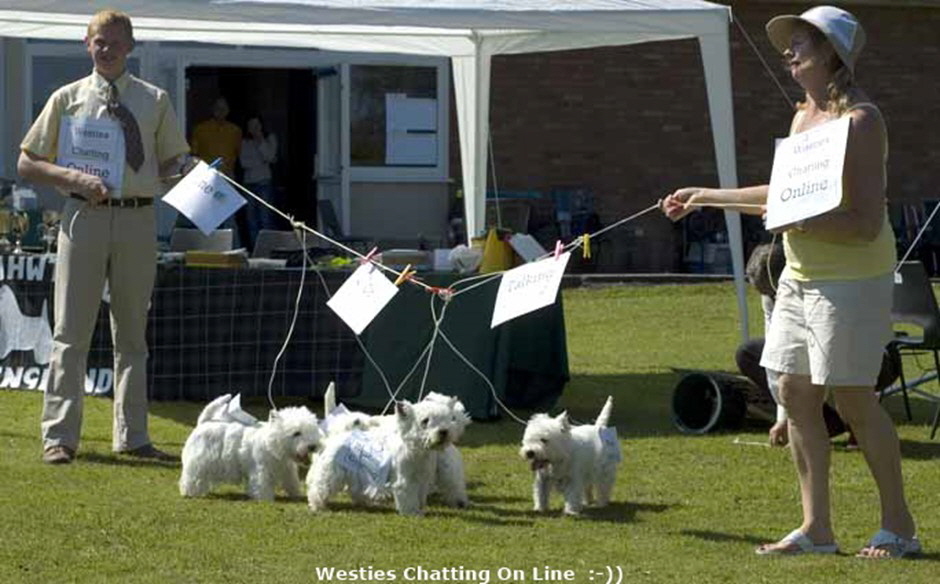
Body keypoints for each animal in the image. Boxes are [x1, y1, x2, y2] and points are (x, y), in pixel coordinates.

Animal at [180, 396, 324, 502]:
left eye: (312, 430)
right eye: (296, 433)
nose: (312, 446)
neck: (274, 447)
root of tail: (203, 423)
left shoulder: (287, 470)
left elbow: (291, 482)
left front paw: (296, 494)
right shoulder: (261, 469)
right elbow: (262, 484)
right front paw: (265, 499)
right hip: (199, 462)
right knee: (192, 477)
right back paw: (190, 492)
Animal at [308, 396, 462, 516]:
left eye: (448, 419)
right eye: (425, 421)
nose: (444, 431)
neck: (418, 452)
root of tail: (335, 436)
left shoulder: (422, 480)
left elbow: (420, 497)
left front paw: (419, 509)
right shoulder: (405, 480)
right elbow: (409, 497)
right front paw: (412, 513)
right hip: (332, 472)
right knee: (320, 488)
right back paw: (317, 505)